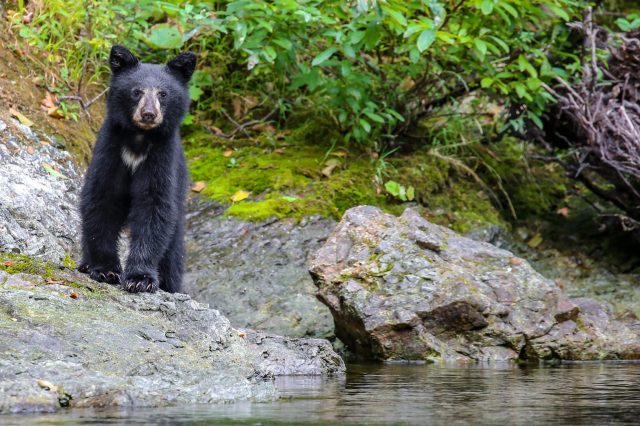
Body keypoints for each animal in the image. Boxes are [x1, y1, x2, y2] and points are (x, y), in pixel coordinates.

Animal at [78, 45, 195, 293]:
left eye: (163, 94)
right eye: (137, 92)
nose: (148, 114)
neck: (139, 139)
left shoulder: (162, 158)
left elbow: (154, 206)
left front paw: (140, 278)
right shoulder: (110, 150)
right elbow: (101, 199)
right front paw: (105, 270)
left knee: (173, 253)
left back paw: (169, 284)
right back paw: (85, 263)